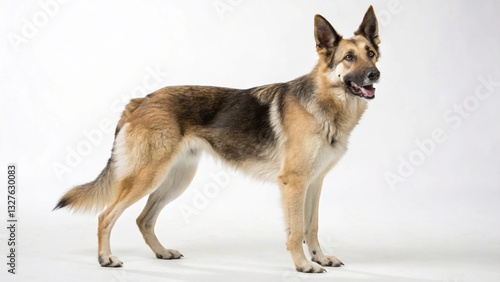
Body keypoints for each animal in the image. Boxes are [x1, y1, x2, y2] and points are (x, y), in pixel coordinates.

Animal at [54, 5, 380, 272]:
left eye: (371, 54)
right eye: (349, 58)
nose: (374, 75)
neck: (326, 102)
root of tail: (141, 99)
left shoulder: (314, 183)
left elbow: (312, 226)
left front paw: (319, 258)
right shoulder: (294, 184)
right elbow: (296, 230)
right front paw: (303, 265)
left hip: (176, 180)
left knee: (143, 219)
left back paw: (162, 252)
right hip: (146, 177)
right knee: (106, 216)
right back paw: (106, 258)